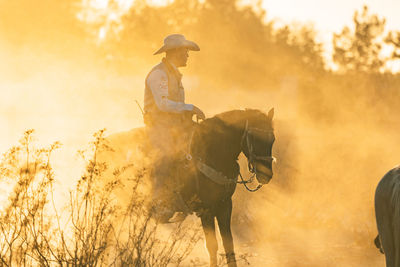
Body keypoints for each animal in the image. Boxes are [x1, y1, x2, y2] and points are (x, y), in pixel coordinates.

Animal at [166, 108, 276, 266]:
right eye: (254, 138)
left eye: (272, 139)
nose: (266, 175)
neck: (212, 155)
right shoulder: (206, 209)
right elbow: (212, 245)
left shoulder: (225, 205)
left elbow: (228, 243)